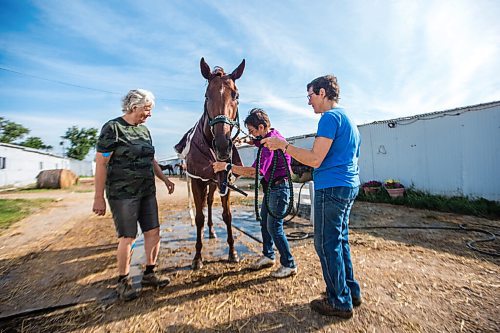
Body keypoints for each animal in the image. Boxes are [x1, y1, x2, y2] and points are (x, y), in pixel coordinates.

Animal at [176, 57, 246, 270]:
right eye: (207, 96)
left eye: (236, 95)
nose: (223, 145)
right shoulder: (197, 180)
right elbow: (198, 218)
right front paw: (197, 257)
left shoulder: (224, 181)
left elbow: (227, 215)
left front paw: (232, 252)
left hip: (213, 184)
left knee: (208, 202)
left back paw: (212, 230)